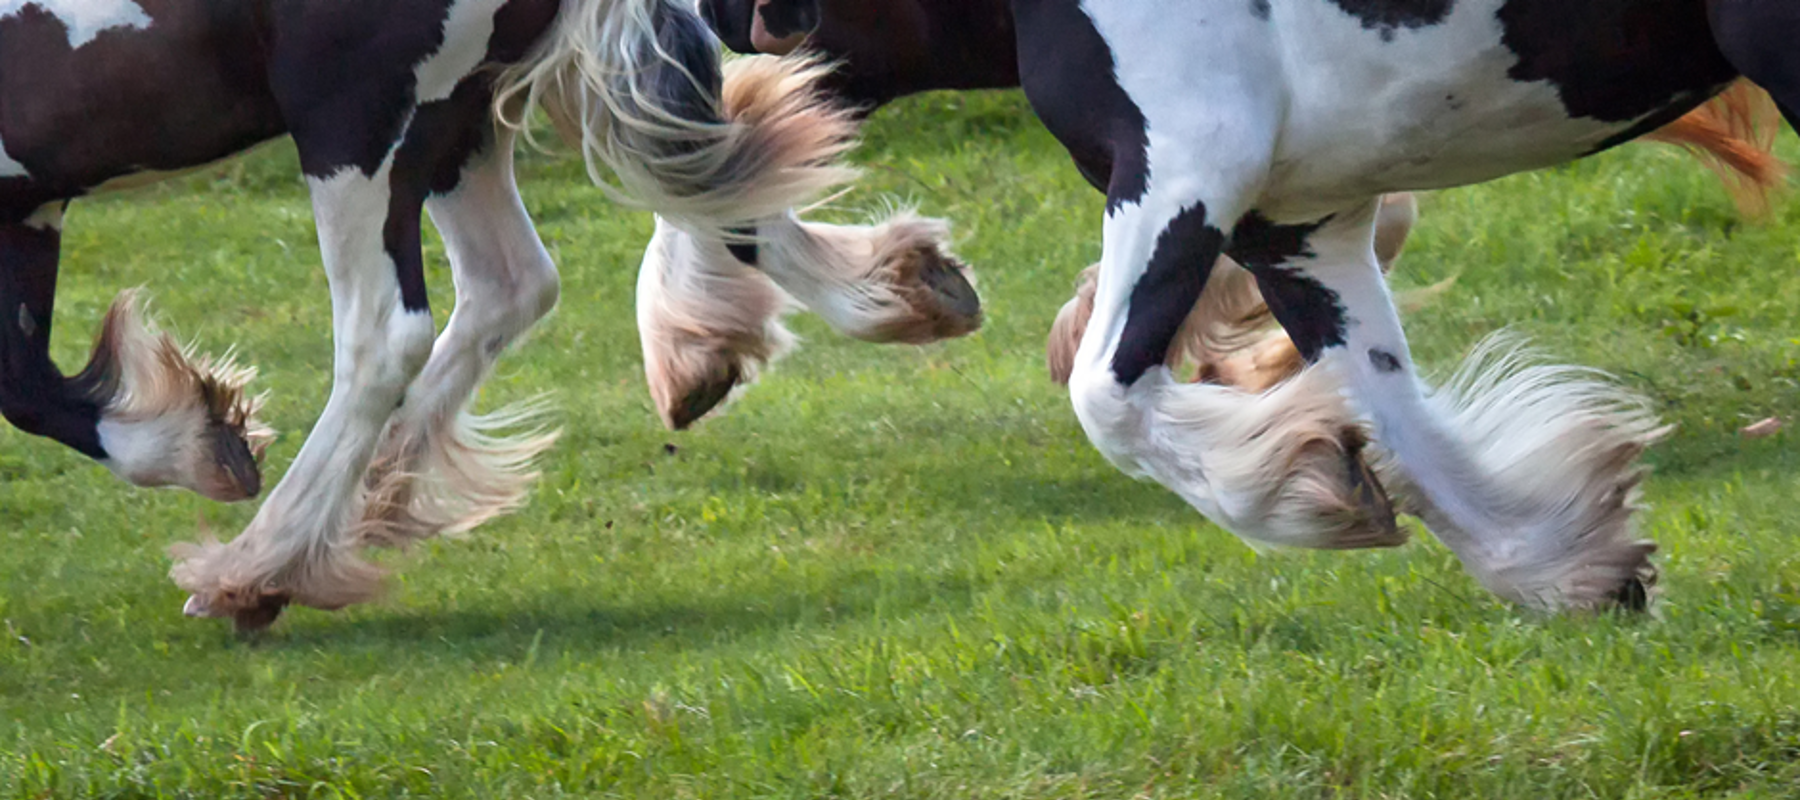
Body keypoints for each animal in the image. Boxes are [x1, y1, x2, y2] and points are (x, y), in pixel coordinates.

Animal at [0, 0, 981, 632]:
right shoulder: (29, 205)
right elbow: (27, 382)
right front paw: (207, 434)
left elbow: (28, 391)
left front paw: (207, 444)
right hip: (456, 115)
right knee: (553, 258)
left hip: (357, 117)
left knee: (388, 335)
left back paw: (256, 569)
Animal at [680, 0, 1798, 611]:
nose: (720, 113)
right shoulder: (1298, 224)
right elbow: (1391, 413)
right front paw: (1575, 565)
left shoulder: (1185, 163)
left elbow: (1105, 394)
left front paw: (1312, 487)